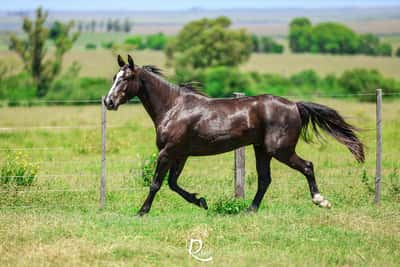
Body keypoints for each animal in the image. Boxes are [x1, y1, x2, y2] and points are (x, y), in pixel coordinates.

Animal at [104, 55, 366, 217]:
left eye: (126, 78)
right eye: (114, 78)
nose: (108, 102)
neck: (174, 107)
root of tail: (294, 105)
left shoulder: (168, 152)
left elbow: (157, 183)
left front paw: (141, 211)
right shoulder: (181, 154)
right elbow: (173, 184)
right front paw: (201, 201)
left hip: (280, 150)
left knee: (307, 166)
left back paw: (321, 200)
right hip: (262, 150)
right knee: (265, 180)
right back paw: (250, 209)